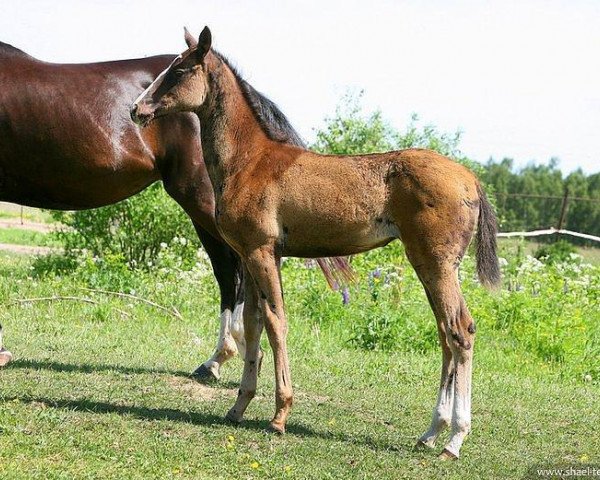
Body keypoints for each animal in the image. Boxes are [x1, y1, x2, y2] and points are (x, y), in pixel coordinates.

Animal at [132, 27, 502, 462]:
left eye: (179, 71)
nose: (136, 109)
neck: (250, 161)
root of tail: (470, 179)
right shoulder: (251, 255)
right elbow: (253, 323)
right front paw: (238, 406)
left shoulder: (262, 252)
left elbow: (276, 321)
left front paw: (279, 416)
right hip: (429, 265)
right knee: (446, 333)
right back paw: (430, 433)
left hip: (437, 264)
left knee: (460, 331)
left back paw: (454, 440)